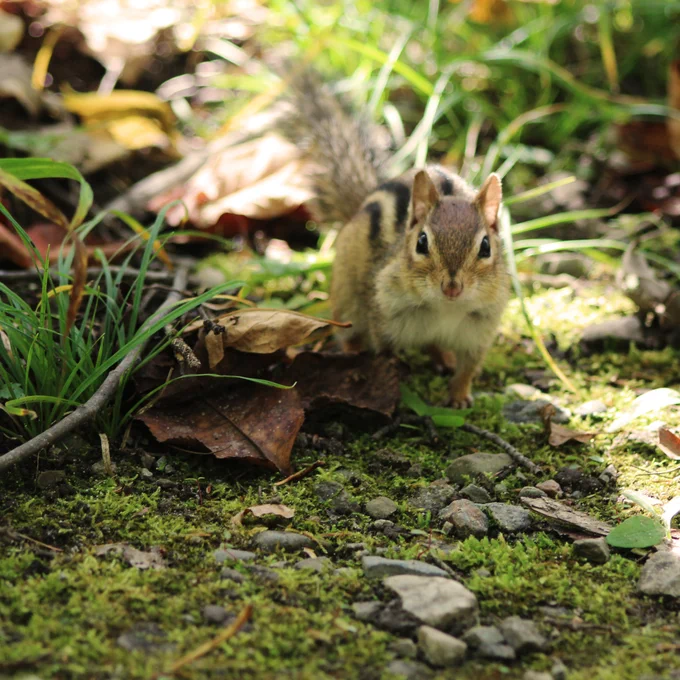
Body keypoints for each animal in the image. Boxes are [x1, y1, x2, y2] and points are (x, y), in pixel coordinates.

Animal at [280, 71, 510, 407]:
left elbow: (469, 367)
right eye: (421, 243)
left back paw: (444, 358)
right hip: (347, 299)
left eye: (485, 246)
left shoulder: (480, 328)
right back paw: (354, 353)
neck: (445, 308)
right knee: (349, 332)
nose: (452, 287)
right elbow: (385, 351)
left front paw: (459, 396)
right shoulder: (385, 314)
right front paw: (391, 379)